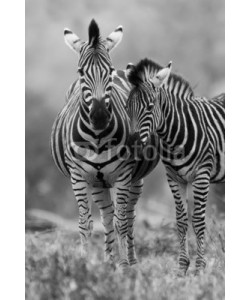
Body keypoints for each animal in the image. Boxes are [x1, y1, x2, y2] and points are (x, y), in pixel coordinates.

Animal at [50, 21, 159, 270]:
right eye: (81, 72)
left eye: (107, 71)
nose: (99, 116)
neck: (98, 137)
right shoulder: (78, 177)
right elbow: (85, 223)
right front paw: (84, 263)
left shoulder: (124, 175)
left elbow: (122, 223)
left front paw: (124, 266)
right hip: (98, 183)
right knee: (107, 217)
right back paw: (109, 260)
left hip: (135, 180)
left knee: (128, 217)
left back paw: (130, 260)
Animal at [126, 57, 226, 276]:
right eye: (127, 107)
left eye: (150, 107)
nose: (131, 145)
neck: (174, 137)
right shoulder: (174, 177)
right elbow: (181, 220)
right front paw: (182, 268)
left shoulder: (202, 175)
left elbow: (198, 220)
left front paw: (199, 268)